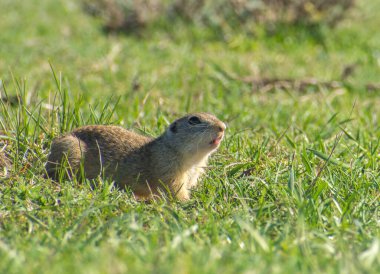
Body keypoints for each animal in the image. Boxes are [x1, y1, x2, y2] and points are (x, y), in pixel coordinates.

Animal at [46, 112, 226, 200]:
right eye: (194, 120)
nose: (223, 127)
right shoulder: (168, 171)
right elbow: (176, 192)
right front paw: (189, 202)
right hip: (70, 151)